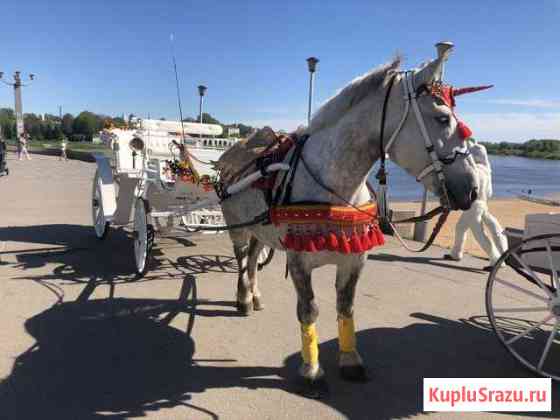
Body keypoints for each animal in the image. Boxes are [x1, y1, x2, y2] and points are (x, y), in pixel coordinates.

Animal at [219, 46, 482, 398]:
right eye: (442, 118)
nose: (472, 189)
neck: (333, 185)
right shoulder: (299, 262)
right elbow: (309, 310)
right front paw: (312, 372)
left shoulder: (354, 260)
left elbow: (346, 308)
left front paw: (350, 361)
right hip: (237, 226)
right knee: (240, 261)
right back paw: (243, 298)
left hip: (259, 231)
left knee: (251, 260)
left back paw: (254, 297)